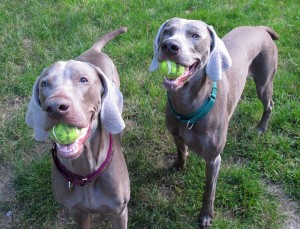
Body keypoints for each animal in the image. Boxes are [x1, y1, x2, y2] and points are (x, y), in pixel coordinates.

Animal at [27, 27, 131, 228]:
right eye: (44, 84)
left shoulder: (119, 212)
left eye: (83, 80)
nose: (54, 107)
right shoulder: (77, 212)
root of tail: (94, 50)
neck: (85, 175)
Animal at [150, 17, 278, 226]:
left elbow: (209, 190)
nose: (168, 46)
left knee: (269, 104)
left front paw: (206, 216)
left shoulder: (213, 159)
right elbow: (181, 152)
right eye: (167, 31)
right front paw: (178, 166)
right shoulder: (176, 134)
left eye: (195, 35)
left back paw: (260, 128)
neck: (188, 105)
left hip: (264, 82)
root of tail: (259, 28)